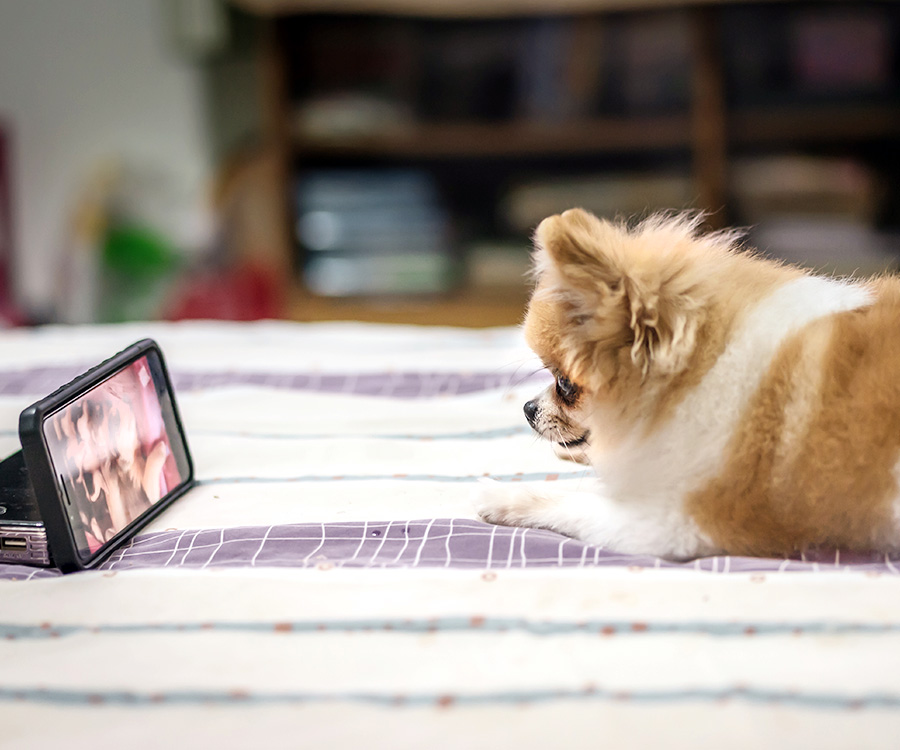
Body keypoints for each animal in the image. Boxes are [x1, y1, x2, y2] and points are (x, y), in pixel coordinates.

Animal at [474, 209, 900, 560]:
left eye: (564, 384)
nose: (527, 408)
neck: (705, 368)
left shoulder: (672, 524)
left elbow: (572, 500)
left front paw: (502, 494)